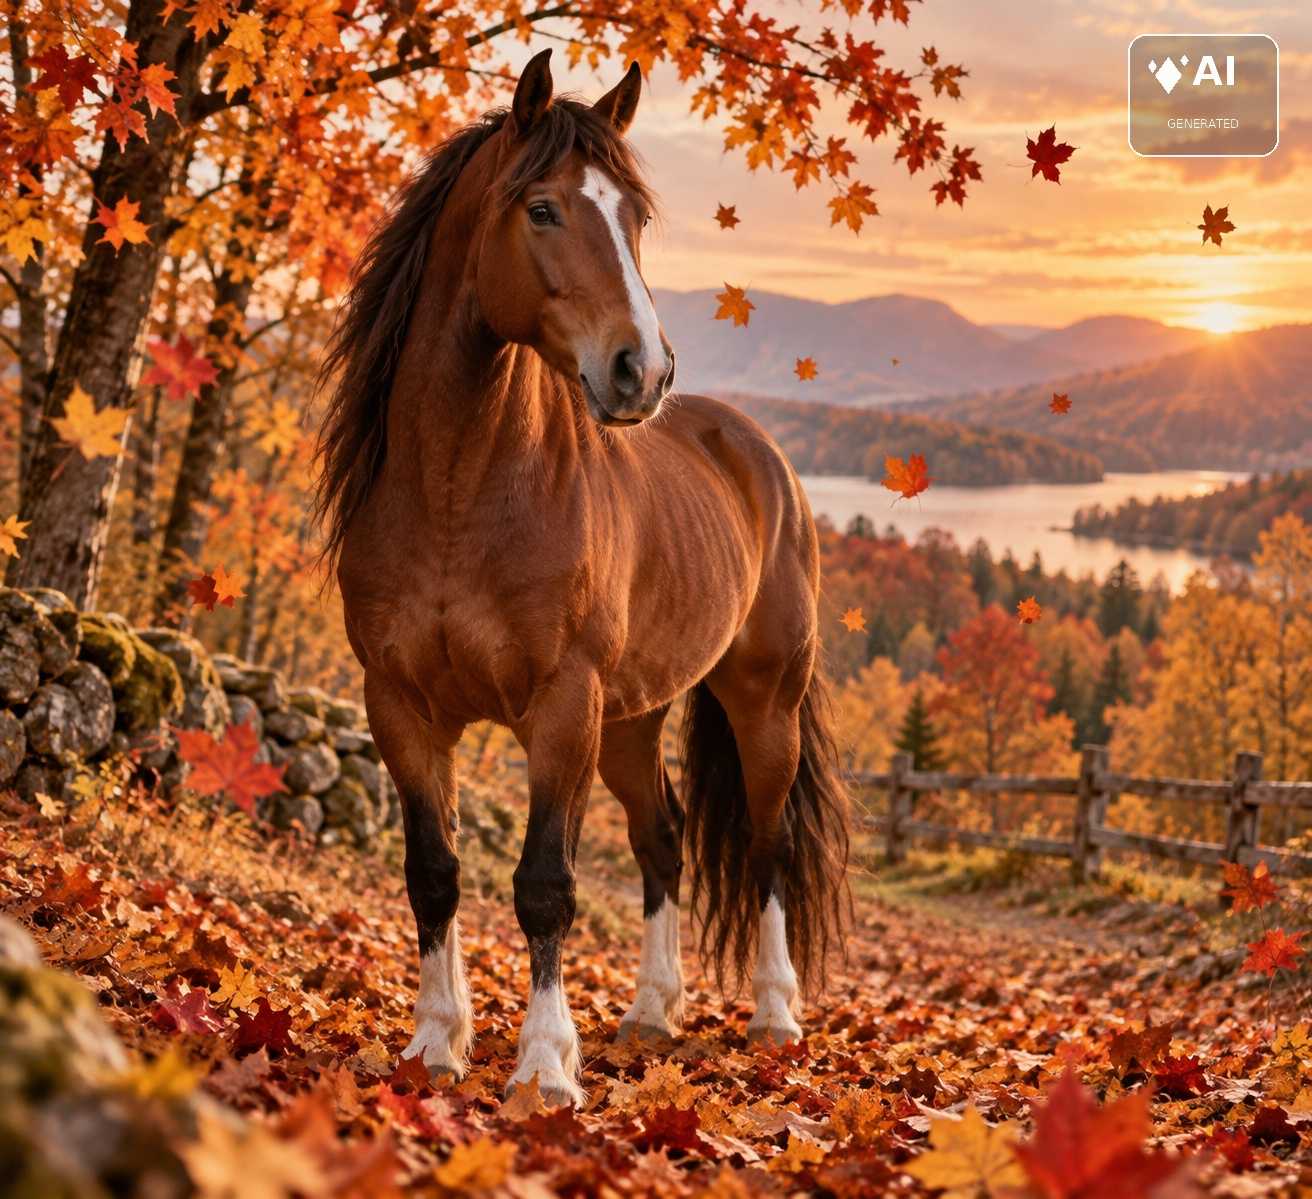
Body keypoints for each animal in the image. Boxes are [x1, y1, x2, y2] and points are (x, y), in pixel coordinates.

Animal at [316, 48, 850, 1108]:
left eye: (634, 216)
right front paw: (436, 1041)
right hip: (634, 719)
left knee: (766, 844)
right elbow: (433, 870)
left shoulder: (561, 706)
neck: (461, 492)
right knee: (665, 837)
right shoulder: (400, 704)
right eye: (544, 209)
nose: (643, 372)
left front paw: (544, 1066)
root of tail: (758, 454)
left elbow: (544, 885)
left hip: (761, 702)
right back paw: (651, 1013)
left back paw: (775, 1016)